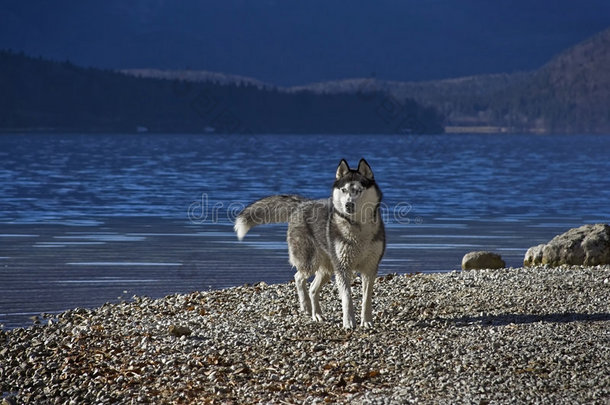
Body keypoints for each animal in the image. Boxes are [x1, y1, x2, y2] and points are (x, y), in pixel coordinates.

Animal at [234, 158, 384, 328]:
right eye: (344, 190)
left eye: (358, 190)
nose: (348, 205)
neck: (357, 227)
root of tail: (303, 203)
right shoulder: (343, 268)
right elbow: (347, 298)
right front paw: (348, 322)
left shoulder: (370, 268)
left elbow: (366, 299)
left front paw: (367, 321)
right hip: (311, 261)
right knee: (298, 277)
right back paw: (305, 305)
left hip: (327, 268)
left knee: (312, 288)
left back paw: (316, 314)